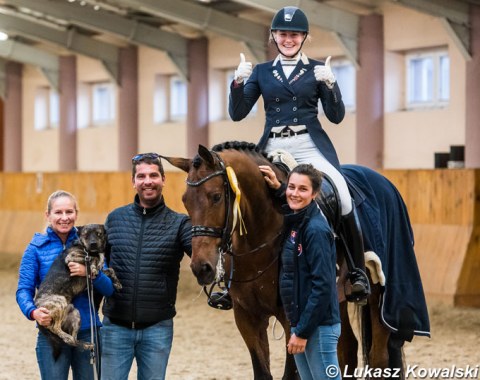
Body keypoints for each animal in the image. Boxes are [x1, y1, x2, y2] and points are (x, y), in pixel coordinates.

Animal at [163, 141, 430, 378]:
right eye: (185, 200)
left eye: (216, 196)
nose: (202, 268)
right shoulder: (247, 317)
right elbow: (262, 373)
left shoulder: (295, 319)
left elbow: (290, 374)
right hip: (335, 299)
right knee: (347, 349)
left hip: (379, 296)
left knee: (378, 358)